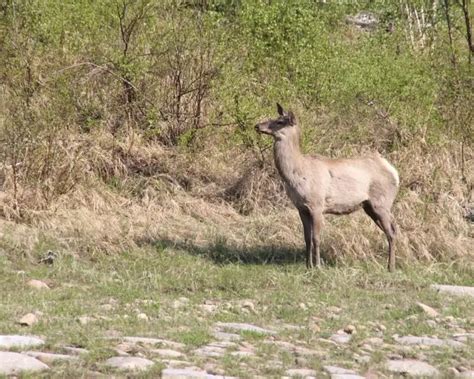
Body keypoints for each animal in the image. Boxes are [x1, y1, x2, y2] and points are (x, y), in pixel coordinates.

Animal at [256, 102, 400, 272]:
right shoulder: (301, 208)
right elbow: (306, 238)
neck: (297, 174)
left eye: (279, 122)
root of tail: (394, 172)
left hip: (381, 203)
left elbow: (316, 238)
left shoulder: (317, 205)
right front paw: (308, 265)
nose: (257, 125)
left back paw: (391, 267)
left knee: (392, 232)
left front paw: (317, 266)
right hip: (369, 206)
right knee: (392, 229)